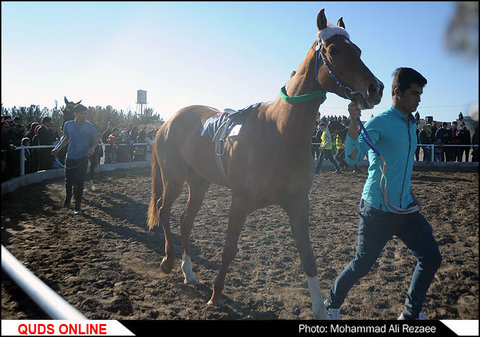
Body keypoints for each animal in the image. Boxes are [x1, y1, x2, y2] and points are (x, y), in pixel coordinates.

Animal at [146, 8, 382, 318]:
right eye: (333, 50)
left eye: (358, 50)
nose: (375, 88)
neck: (280, 131)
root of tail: (167, 122)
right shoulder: (240, 201)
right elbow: (229, 249)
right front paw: (216, 295)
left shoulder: (298, 203)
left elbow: (308, 255)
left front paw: (320, 308)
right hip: (173, 178)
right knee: (164, 211)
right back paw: (169, 262)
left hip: (199, 182)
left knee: (186, 221)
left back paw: (189, 272)